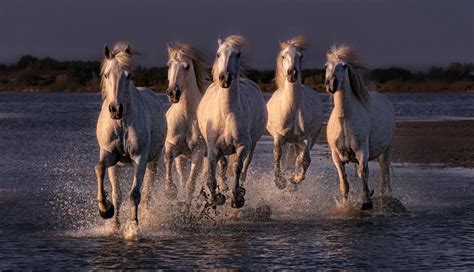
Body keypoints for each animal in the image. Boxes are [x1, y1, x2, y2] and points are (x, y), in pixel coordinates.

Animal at [94, 42, 167, 234]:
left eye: (129, 75)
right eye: (106, 74)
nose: (115, 109)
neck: (121, 124)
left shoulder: (140, 158)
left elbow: (135, 194)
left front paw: (133, 226)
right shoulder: (109, 154)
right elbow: (101, 172)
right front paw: (106, 211)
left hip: (153, 160)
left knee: (147, 192)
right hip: (116, 165)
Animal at [164, 42, 208, 203]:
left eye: (187, 66)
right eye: (169, 65)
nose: (173, 93)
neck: (186, 116)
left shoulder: (198, 152)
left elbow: (191, 184)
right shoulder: (172, 146)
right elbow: (168, 161)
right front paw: (170, 191)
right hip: (181, 159)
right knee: (183, 176)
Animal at [196, 34, 268, 208]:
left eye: (238, 54)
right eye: (218, 54)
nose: (225, 78)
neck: (226, 114)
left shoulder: (243, 145)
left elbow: (237, 167)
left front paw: (237, 198)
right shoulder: (212, 148)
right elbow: (211, 177)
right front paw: (216, 198)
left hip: (253, 145)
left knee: (245, 168)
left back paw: (239, 188)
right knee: (222, 163)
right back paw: (223, 188)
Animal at [266, 36, 322, 189]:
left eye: (300, 56)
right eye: (283, 56)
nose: (292, 74)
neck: (292, 110)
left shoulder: (306, 138)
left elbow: (305, 160)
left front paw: (295, 179)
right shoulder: (278, 136)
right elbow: (277, 155)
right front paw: (280, 182)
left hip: (304, 140)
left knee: (299, 158)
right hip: (287, 141)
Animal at [326, 45, 396, 210]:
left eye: (344, 66)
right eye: (326, 66)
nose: (331, 84)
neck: (344, 120)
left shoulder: (362, 151)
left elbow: (362, 174)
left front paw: (366, 203)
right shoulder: (336, 155)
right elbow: (344, 180)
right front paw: (345, 203)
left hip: (386, 151)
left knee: (384, 176)